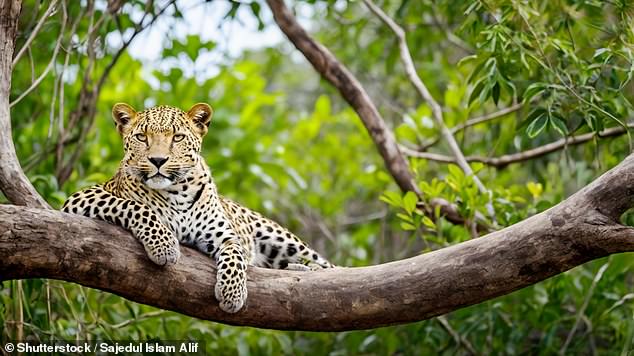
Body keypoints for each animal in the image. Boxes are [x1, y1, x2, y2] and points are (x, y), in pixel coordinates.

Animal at [61, 102, 334, 312]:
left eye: (177, 137)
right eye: (142, 137)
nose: (157, 160)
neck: (177, 192)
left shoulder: (226, 236)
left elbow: (235, 255)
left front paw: (232, 293)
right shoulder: (81, 197)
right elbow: (134, 206)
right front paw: (164, 246)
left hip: (281, 238)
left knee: (329, 267)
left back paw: (305, 269)